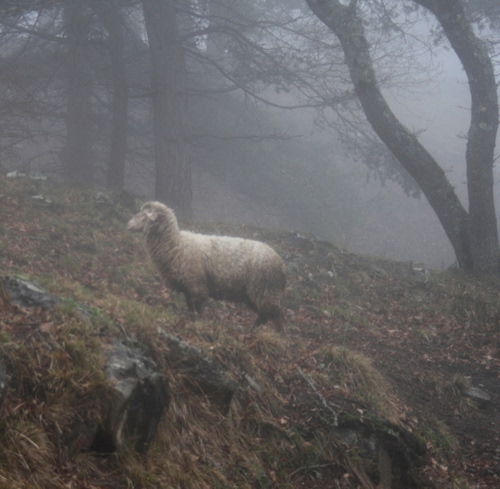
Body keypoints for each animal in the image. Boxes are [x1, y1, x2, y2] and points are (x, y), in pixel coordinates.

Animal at [127, 201, 286, 331]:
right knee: (265, 315)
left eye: (144, 216)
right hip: (255, 294)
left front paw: (200, 322)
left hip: (266, 290)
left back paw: (276, 335)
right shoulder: (187, 286)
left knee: (275, 315)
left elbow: (199, 307)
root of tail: (281, 264)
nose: (128, 225)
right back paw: (252, 331)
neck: (175, 243)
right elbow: (190, 307)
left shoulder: (198, 286)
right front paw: (191, 320)